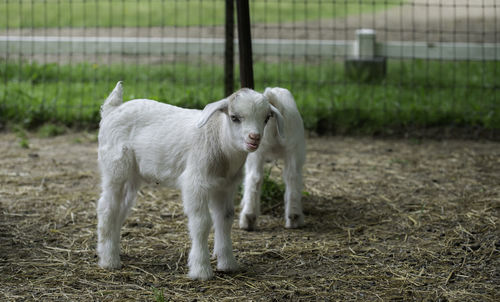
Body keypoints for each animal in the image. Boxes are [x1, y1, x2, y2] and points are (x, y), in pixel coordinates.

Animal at [95, 81, 284, 280]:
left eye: (266, 118)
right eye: (234, 117)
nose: (254, 138)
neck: (220, 141)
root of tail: (112, 109)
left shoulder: (225, 187)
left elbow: (225, 219)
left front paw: (228, 264)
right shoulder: (195, 183)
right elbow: (202, 222)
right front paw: (201, 270)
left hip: (132, 176)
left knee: (120, 209)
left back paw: (112, 251)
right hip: (116, 167)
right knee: (106, 207)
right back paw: (109, 261)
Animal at [238, 86, 304, 230]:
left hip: (256, 149)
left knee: (254, 177)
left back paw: (248, 217)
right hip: (294, 147)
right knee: (292, 176)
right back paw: (294, 217)